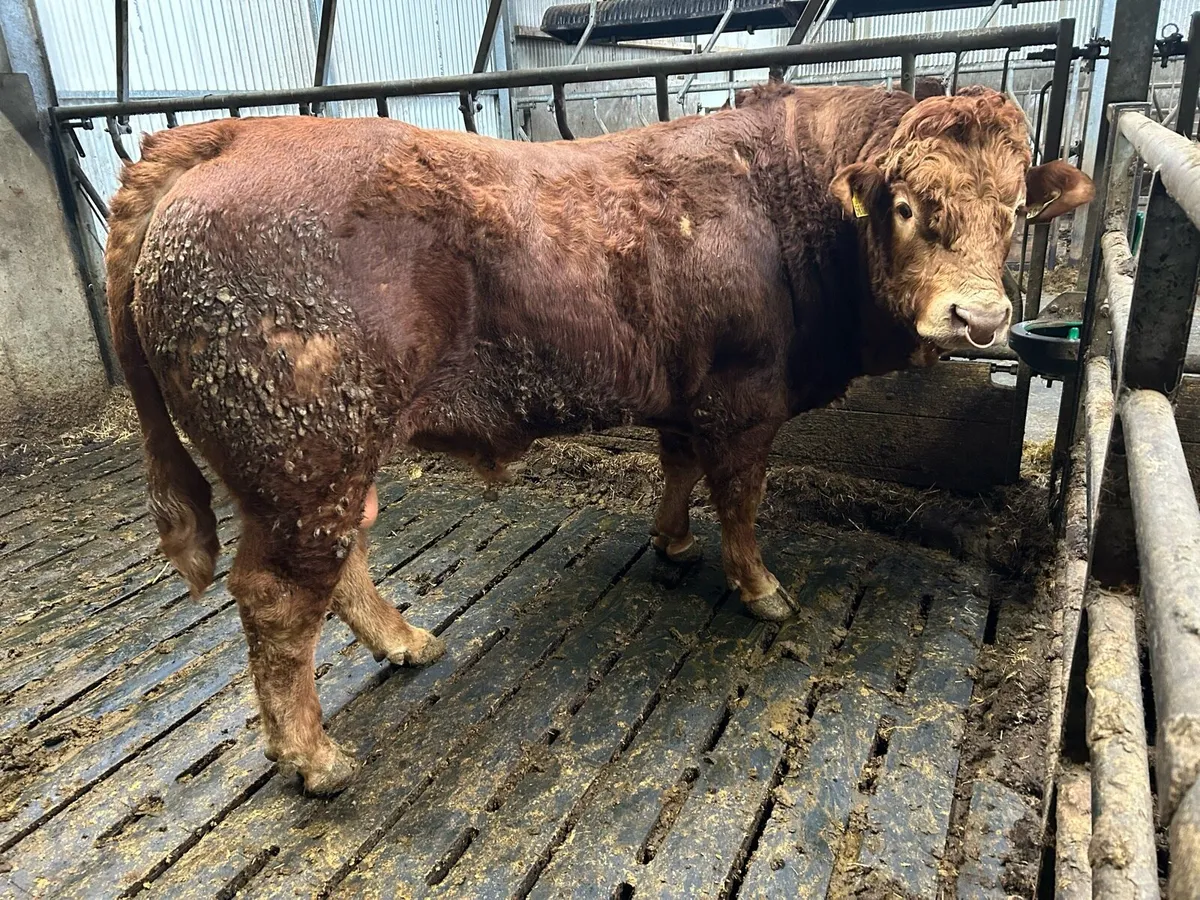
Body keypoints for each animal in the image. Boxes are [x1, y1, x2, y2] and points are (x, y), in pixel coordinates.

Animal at [105, 83, 1092, 795]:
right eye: (908, 206)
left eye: (1015, 211)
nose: (981, 317)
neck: (783, 200)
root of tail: (231, 137)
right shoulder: (745, 403)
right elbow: (741, 501)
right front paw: (761, 589)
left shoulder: (689, 397)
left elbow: (679, 469)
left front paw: (673, 544)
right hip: (307, 458)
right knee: (279, 599)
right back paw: (316, 759)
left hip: (317, 468)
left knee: (338, 564)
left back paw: (404, 642)